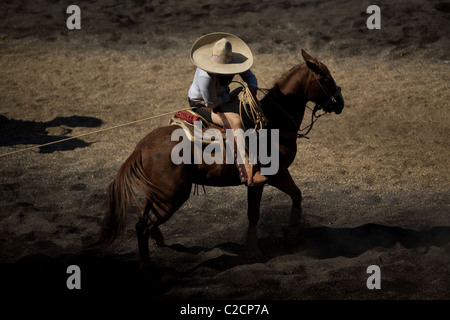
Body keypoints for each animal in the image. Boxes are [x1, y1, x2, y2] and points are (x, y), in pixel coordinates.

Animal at [99, 49, 344, 270]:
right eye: (324, 78)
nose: (340, 102)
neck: (273, 123)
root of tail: (140, 148)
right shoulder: (270, 176)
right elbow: (256, 212)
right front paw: (255, 250)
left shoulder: (278, 175)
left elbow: (296, 196)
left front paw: (290, 237)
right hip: (171, 197)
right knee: (142, 225)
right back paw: (146, 266)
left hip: (159, 193)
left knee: (143, 216)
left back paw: (157, 240)